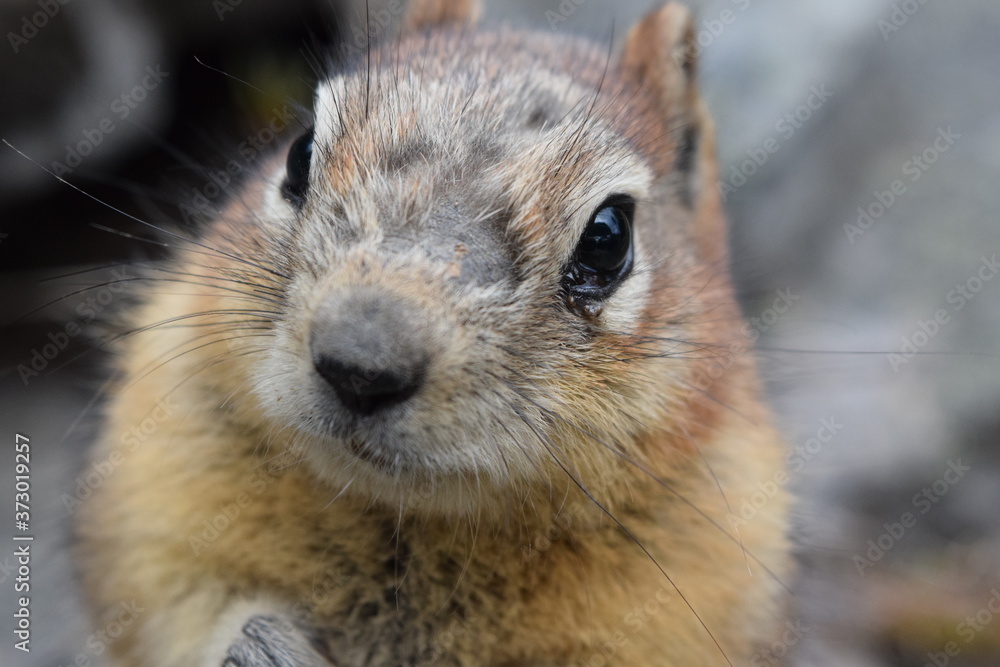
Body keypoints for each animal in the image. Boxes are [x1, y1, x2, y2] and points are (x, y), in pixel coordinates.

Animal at [77, 1, 791, 664]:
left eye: (609, 236)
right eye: (300, 152)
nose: (360, 363)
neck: (401, 521)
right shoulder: (161, 524)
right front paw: (263, 646)